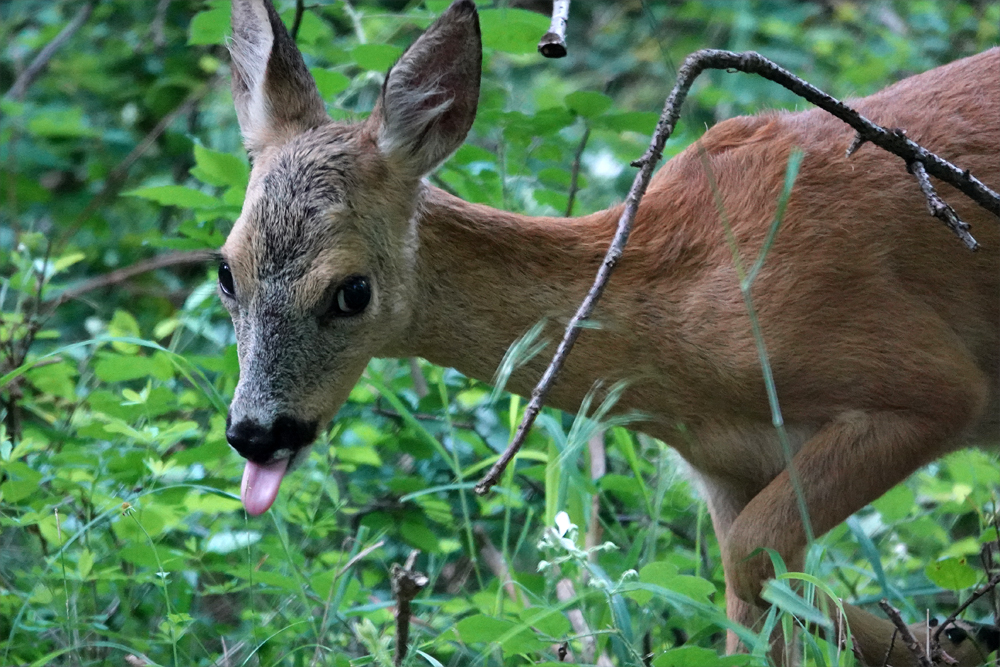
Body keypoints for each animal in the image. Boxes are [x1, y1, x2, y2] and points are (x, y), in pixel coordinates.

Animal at [221, 0, 1000, 660]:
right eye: (227, 271)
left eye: (352, 291)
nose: (256, 432)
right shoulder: (727, 468)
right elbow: (750, 602)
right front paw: (943, 637)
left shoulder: (930, 382)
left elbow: (751, 561)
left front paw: (948, 639)